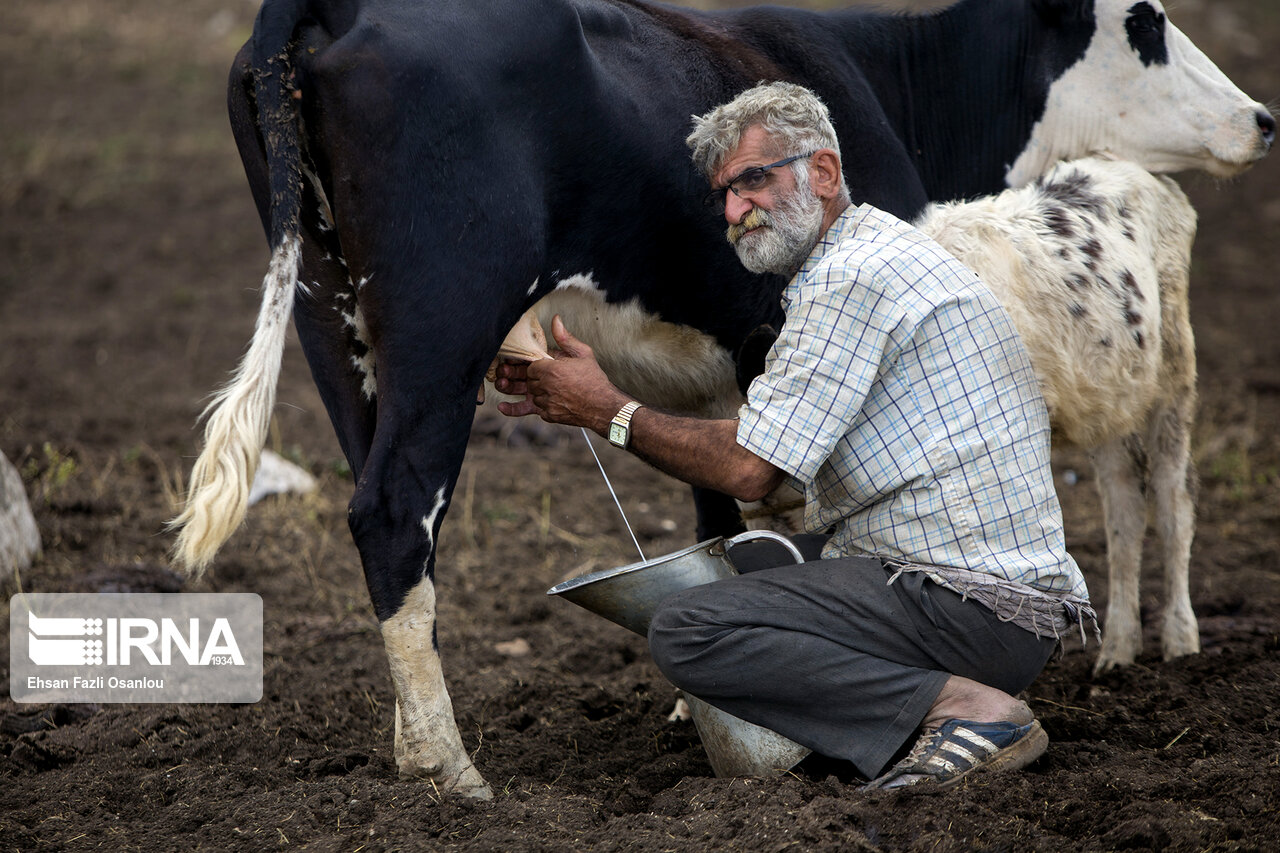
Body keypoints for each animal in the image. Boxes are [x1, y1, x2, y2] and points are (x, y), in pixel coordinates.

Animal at [175, 1, 1274, 799]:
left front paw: (685, 703)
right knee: (395, 511)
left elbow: (717, 513)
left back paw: (411, 751)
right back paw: (452, 768)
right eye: (1144, 24)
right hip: (443, 316)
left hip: (332, 321)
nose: (1262, 120)